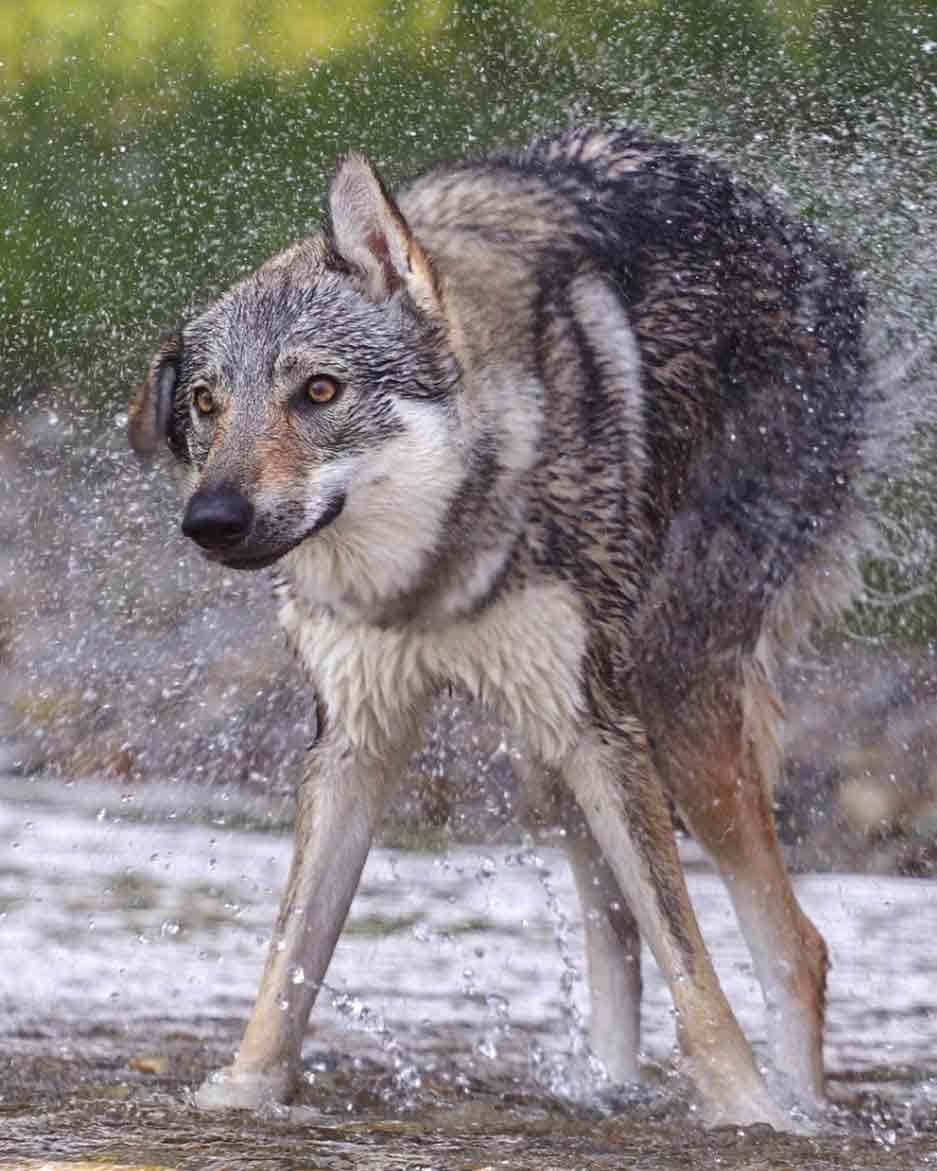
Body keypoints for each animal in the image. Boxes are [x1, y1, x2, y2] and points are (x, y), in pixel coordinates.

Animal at [129, 123, 875, 1128]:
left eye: (319, 391)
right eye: (207, 404)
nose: (209, 519)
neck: (430, 576)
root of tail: (818, 255)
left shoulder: (599, 725)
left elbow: (694, 966)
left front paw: (741, 1108)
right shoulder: (354, 741)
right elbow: (289, 961)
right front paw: (246, 1089)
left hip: (663, 702)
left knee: (795, 946)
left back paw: (789, 1113)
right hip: (552, 751)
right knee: (619, 937)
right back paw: (609, 1092)